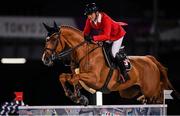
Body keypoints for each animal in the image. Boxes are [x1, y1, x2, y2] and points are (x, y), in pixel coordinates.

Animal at [41, 22, 179, 105]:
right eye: (46, 39)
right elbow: (64, 77)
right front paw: (74, 95)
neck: (85, 53)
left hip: (151, 92)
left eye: (54, 39)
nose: (45, 59)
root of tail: (150, 60)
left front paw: (78, 97)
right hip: (131, 91)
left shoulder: (95, 80)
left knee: (159, 98)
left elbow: (74, 78)